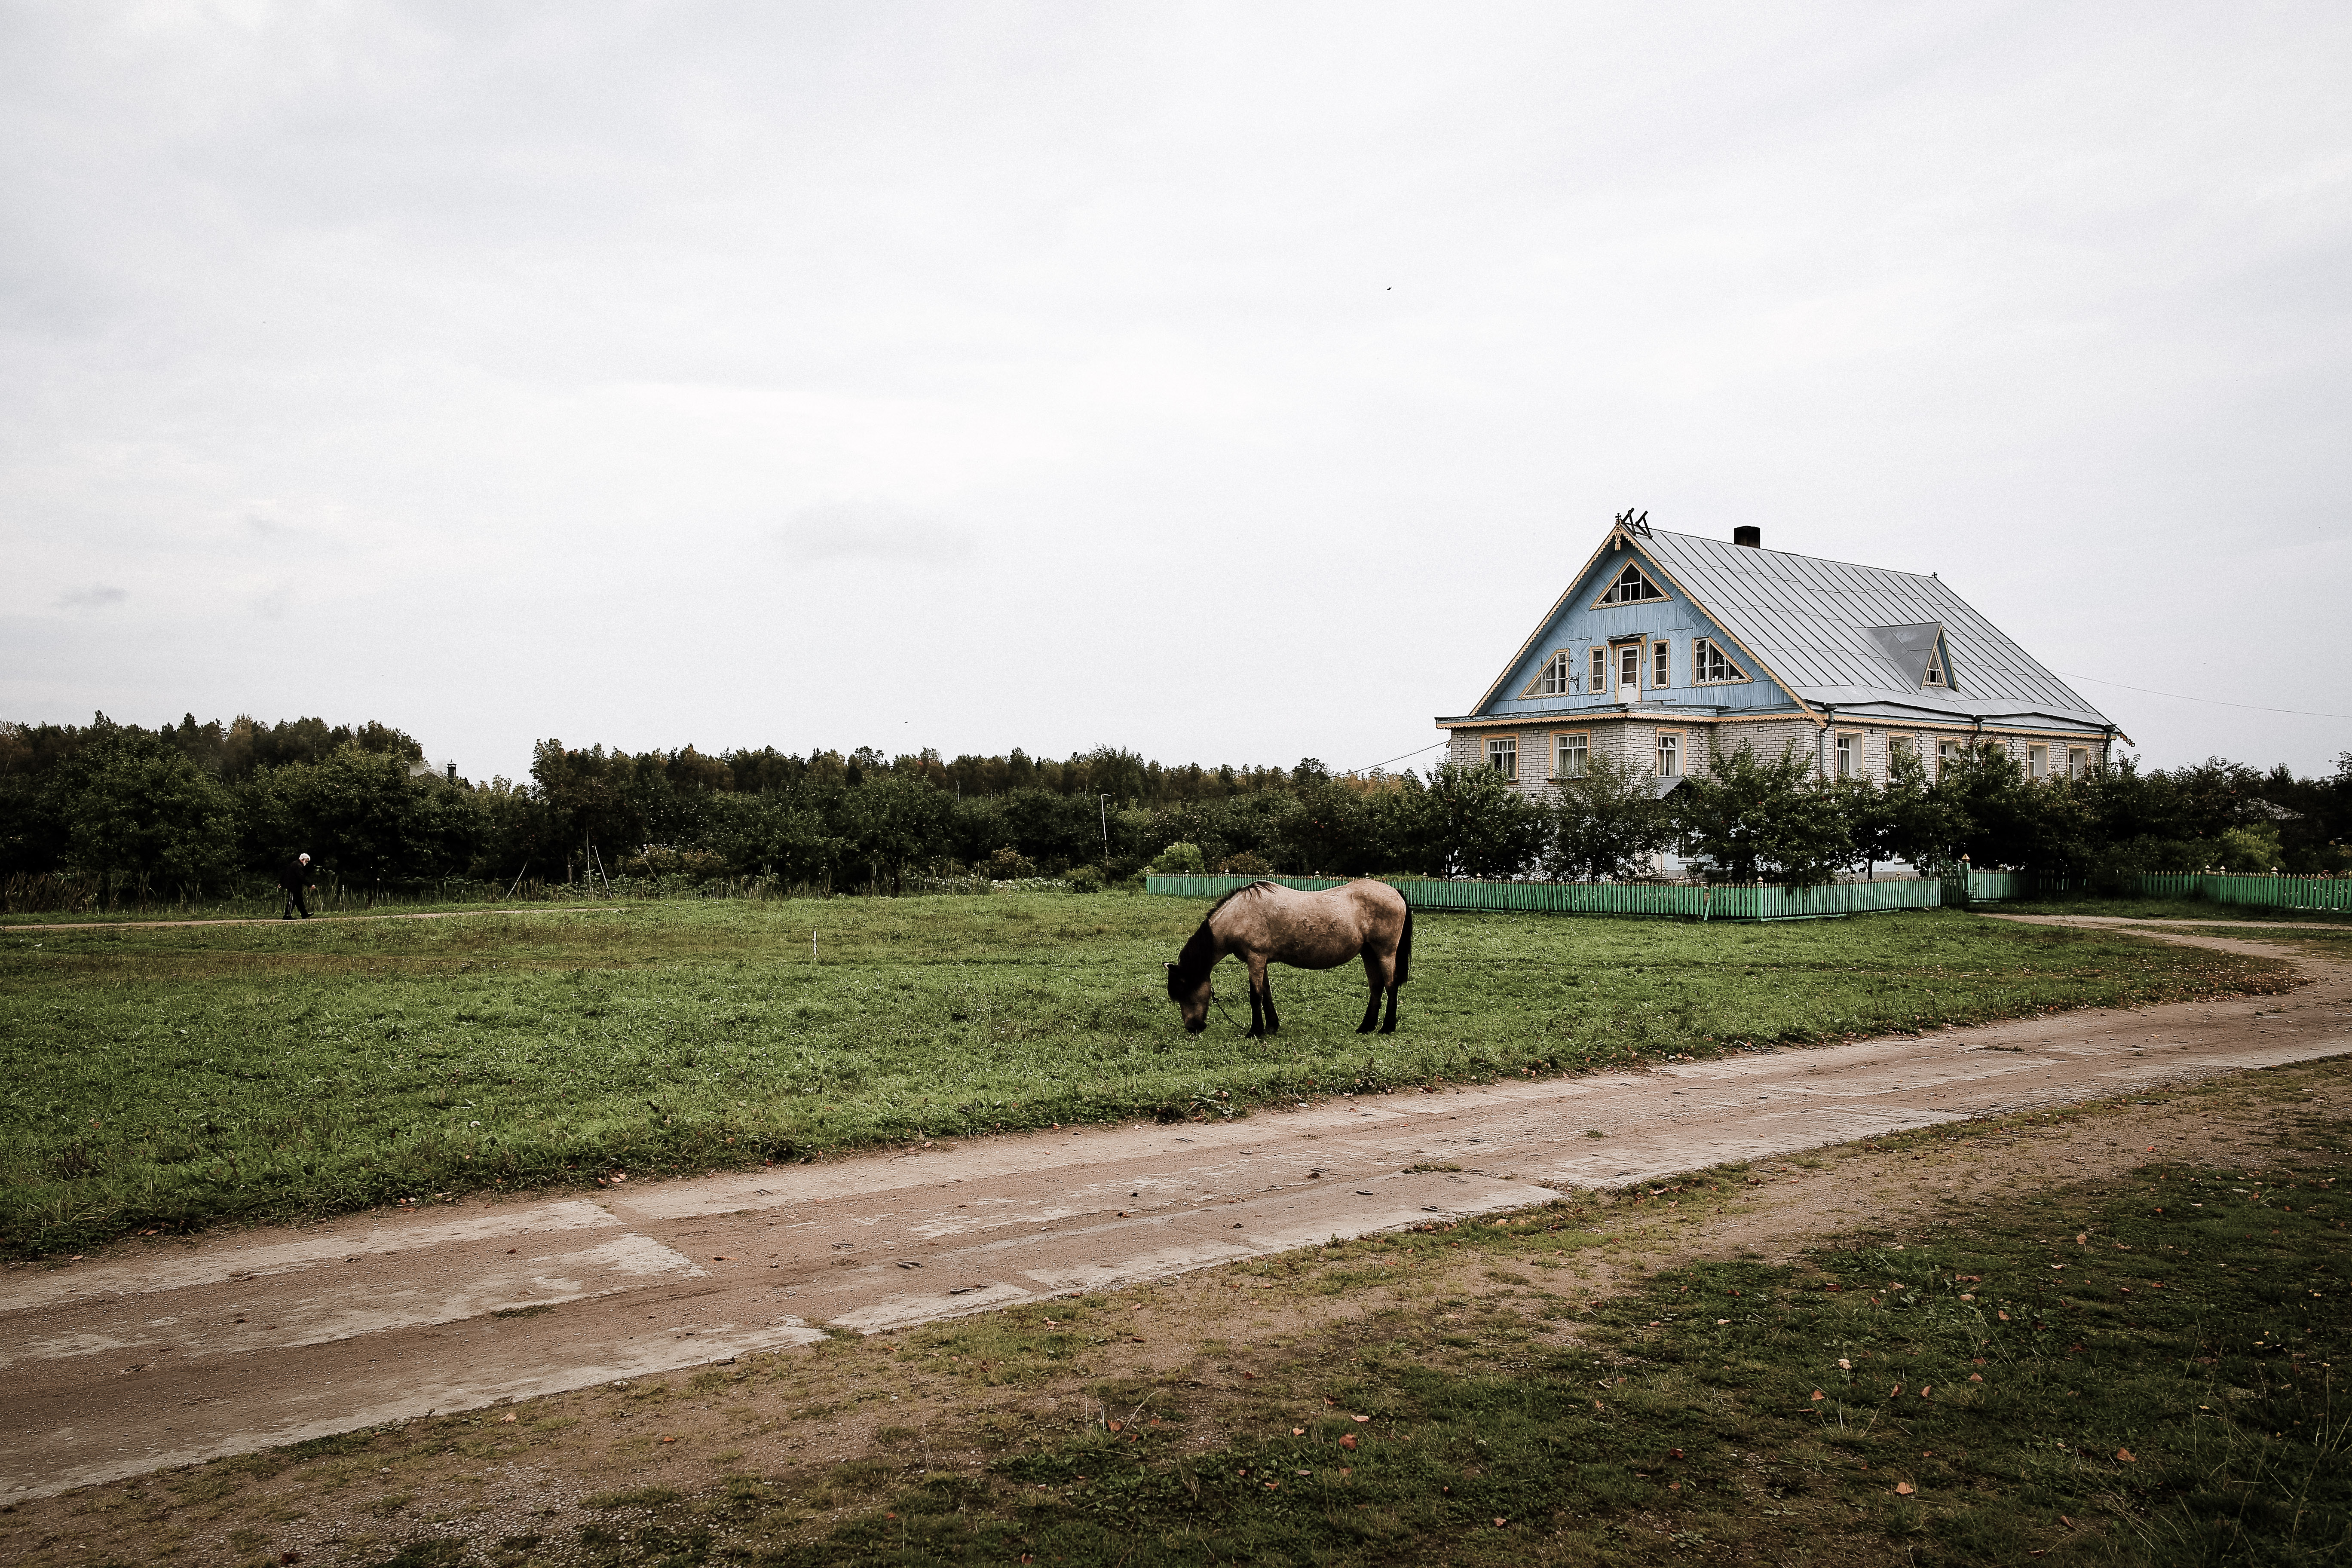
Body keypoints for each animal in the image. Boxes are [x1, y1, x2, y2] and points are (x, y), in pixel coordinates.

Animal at [1162, 884, 1402, 1044]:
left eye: (1185, 992)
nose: (1192, 1027)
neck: (1240, 914)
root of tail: (1396, 893)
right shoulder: (1262, 961)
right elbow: (1266, 993)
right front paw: (1271, 1027)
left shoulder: (1256, 959)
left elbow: (1255, 995)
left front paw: (1255, 1031)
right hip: (1369, 953)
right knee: (1376, 987)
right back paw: (1366, 1027)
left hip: (1385, 952)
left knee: (1391, 986)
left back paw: (1387, 1027)